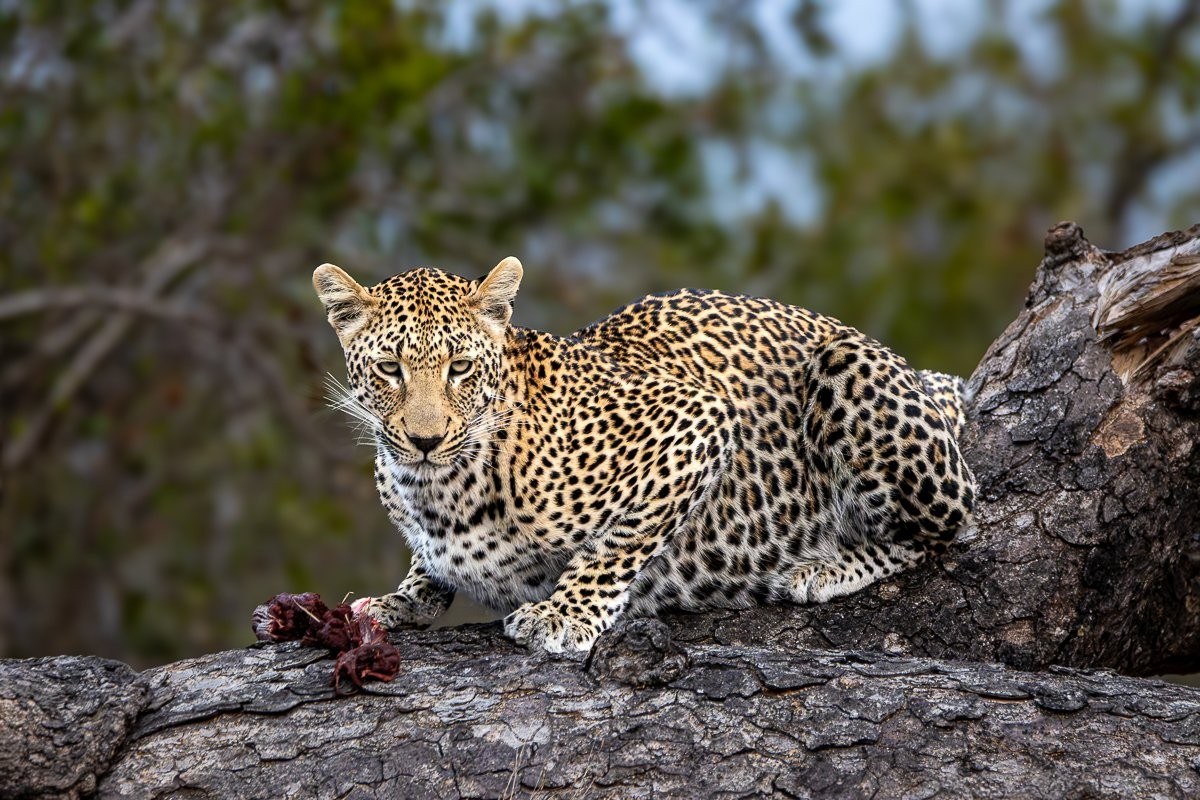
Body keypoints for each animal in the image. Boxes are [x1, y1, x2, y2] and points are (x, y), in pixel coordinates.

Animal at [313, 256, 975, 654]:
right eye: (390, 369)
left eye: (460, 368)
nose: (425, 439)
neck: (435, 492)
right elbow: (427, 570)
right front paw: (398, 600)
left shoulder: (695, 420)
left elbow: (617, 544)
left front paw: (566, 614)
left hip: (850, 371)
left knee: (950, 527)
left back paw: (822, 567)